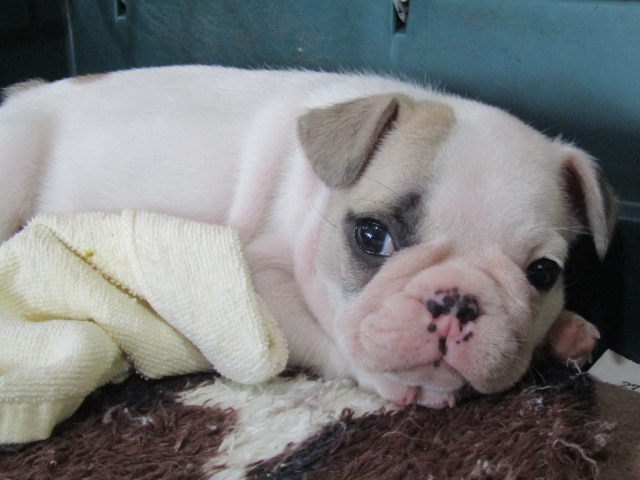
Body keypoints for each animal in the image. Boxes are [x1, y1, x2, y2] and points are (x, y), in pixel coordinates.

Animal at [0, 66, 616, 408]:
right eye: (372, 236)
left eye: (543, 274)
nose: (456, 301)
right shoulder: (256, 280)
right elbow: (334, 339)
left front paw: (564, 330)